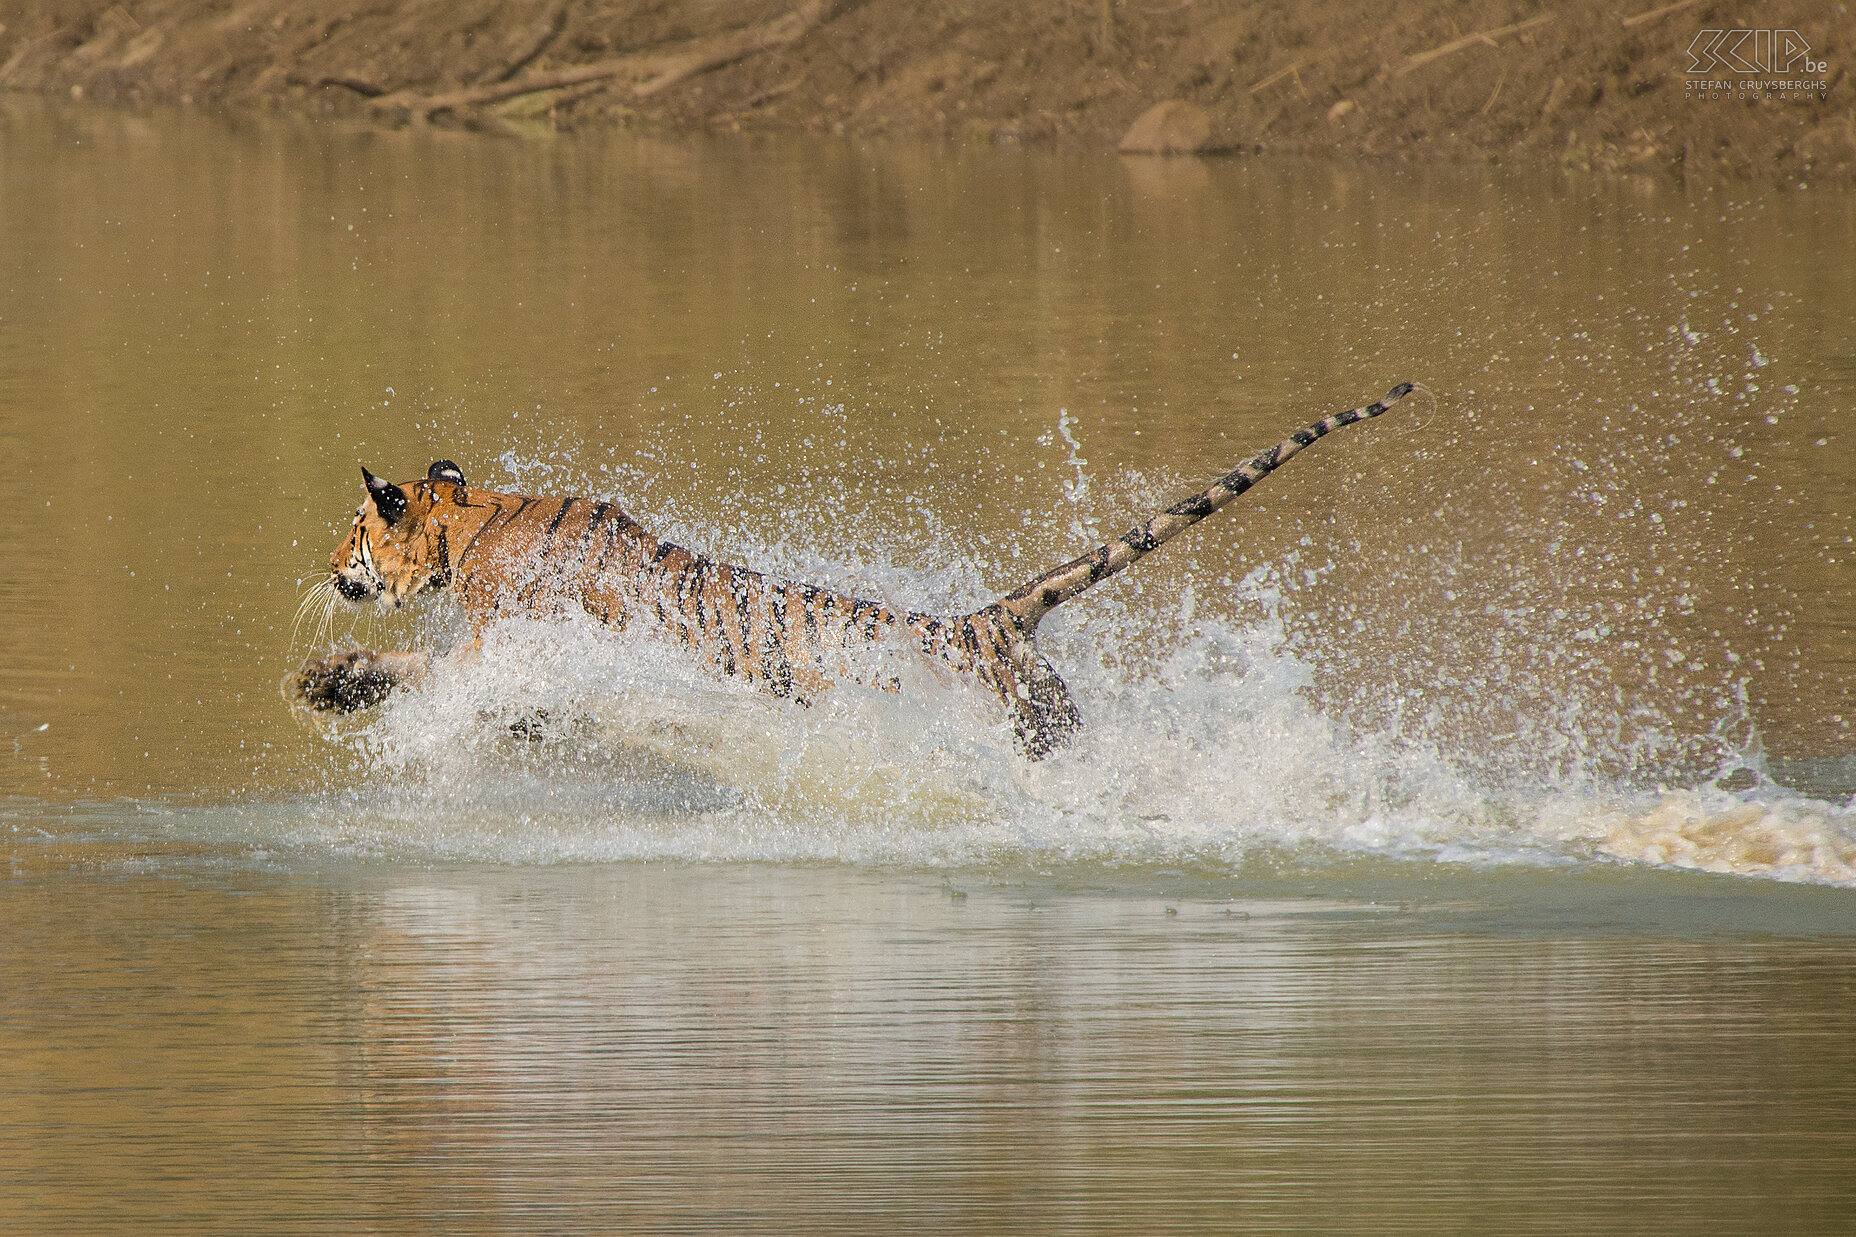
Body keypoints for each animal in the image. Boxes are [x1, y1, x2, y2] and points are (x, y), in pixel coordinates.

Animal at [296, 380, 1410, 757]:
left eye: (353, 526)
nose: (322, 563)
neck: (470, 525)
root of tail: (986, 617)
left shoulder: (510, 644)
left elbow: (440, 678)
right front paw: (332, 682)